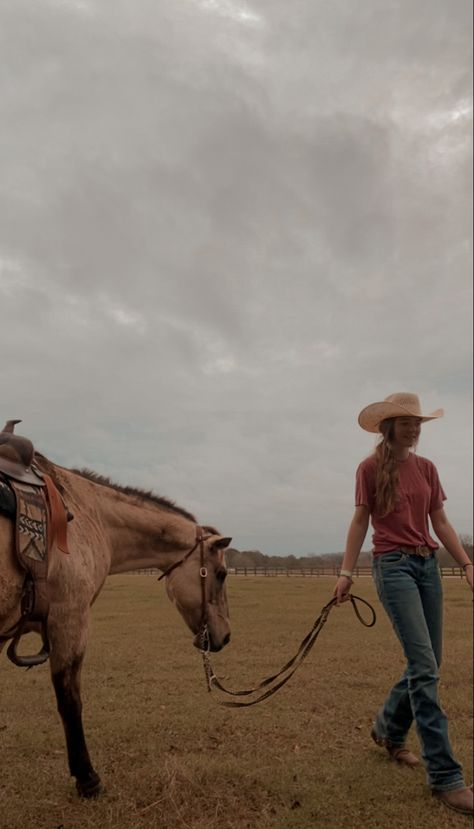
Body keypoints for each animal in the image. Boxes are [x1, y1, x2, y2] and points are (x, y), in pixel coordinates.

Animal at [0, 452, 232, 796]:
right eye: (221, 574)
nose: (226, 635)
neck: (85, 513)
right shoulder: (70, 620)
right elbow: (70, 700)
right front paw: (87, 779)